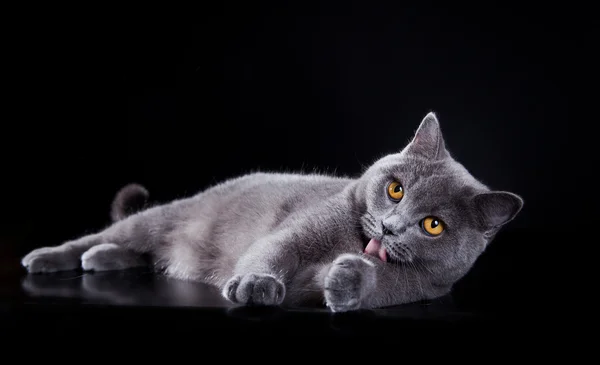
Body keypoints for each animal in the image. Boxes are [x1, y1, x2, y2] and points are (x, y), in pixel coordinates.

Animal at [21, 113, 524, 310]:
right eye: (395, 190)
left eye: (433, 225)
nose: (390, 226)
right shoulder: (299, 231)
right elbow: (277, 249)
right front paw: (254, 285)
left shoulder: (424, 288)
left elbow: (381, 286)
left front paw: (348, 279)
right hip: (157, 219)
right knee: (107, 236)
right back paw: (47, 258)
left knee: (140, 255)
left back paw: (102, 259)